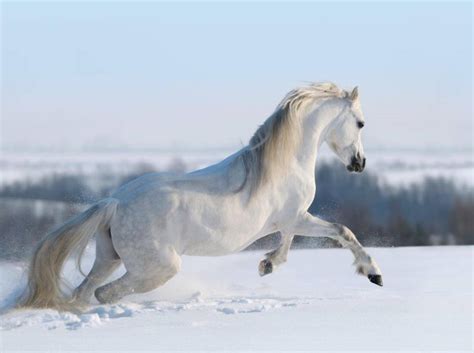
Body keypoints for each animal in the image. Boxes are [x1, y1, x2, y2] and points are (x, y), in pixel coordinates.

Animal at [19, 82, 382, 308]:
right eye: (361, 123)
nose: (360, 163)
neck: (282, 163)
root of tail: (115, 203)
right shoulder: (297, 217)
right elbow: (342, 231)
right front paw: (373, 273)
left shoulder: (289, 221)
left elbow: (289, 242)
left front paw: (267, 265)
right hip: (157, 268)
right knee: (104, 293)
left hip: (109, 257)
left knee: (84, 292)